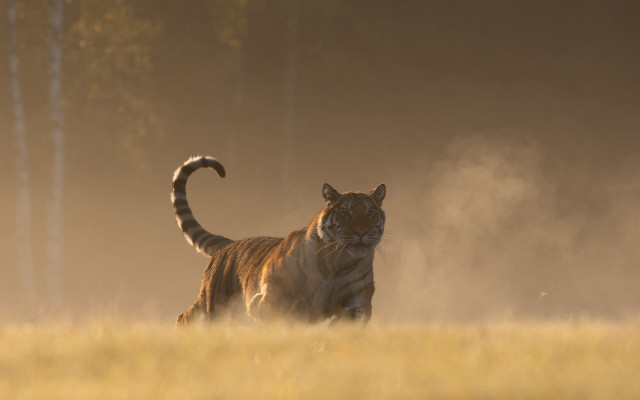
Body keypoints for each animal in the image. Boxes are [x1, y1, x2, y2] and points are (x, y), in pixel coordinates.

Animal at [171, 155, 386, 325]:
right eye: (345, 214)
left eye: (371, 213)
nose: (361, 232)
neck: (339, 264)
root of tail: (229, 244)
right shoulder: (272, 295)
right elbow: (273, 310)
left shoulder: (360, 299)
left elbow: (355, 315)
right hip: (212, 305)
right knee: (184, 317)